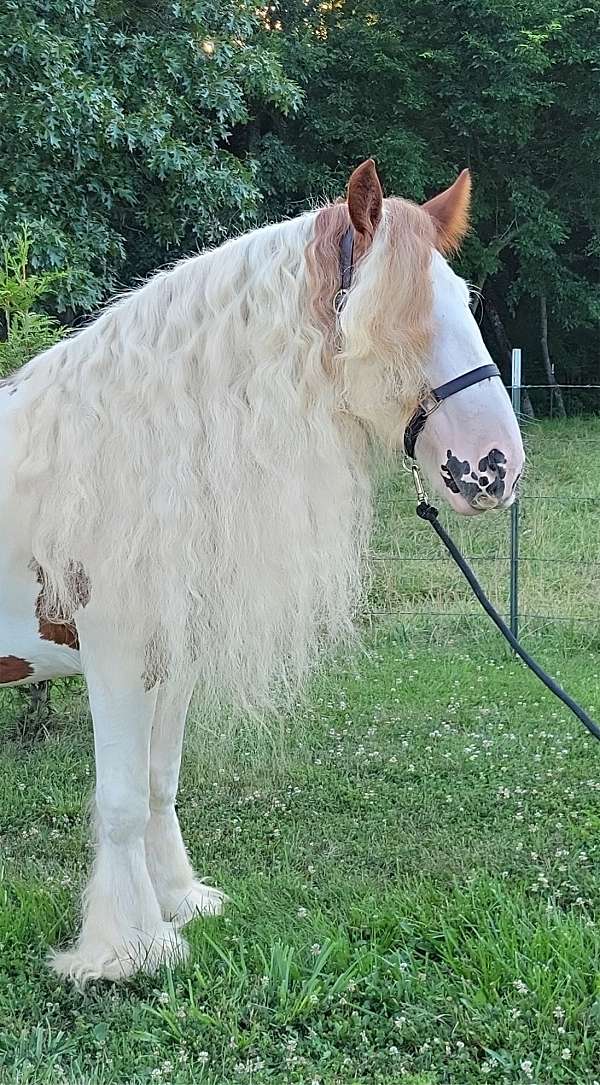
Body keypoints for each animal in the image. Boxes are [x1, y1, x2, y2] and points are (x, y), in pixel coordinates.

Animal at [0, 160, 524, 982]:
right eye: (397, 317)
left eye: (464, 303)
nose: (495, 465)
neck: (124, 453)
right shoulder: (116, 656)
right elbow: (120, 798)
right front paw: (127, 949)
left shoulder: (168, 658)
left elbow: (159, 780)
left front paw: (180, 900)